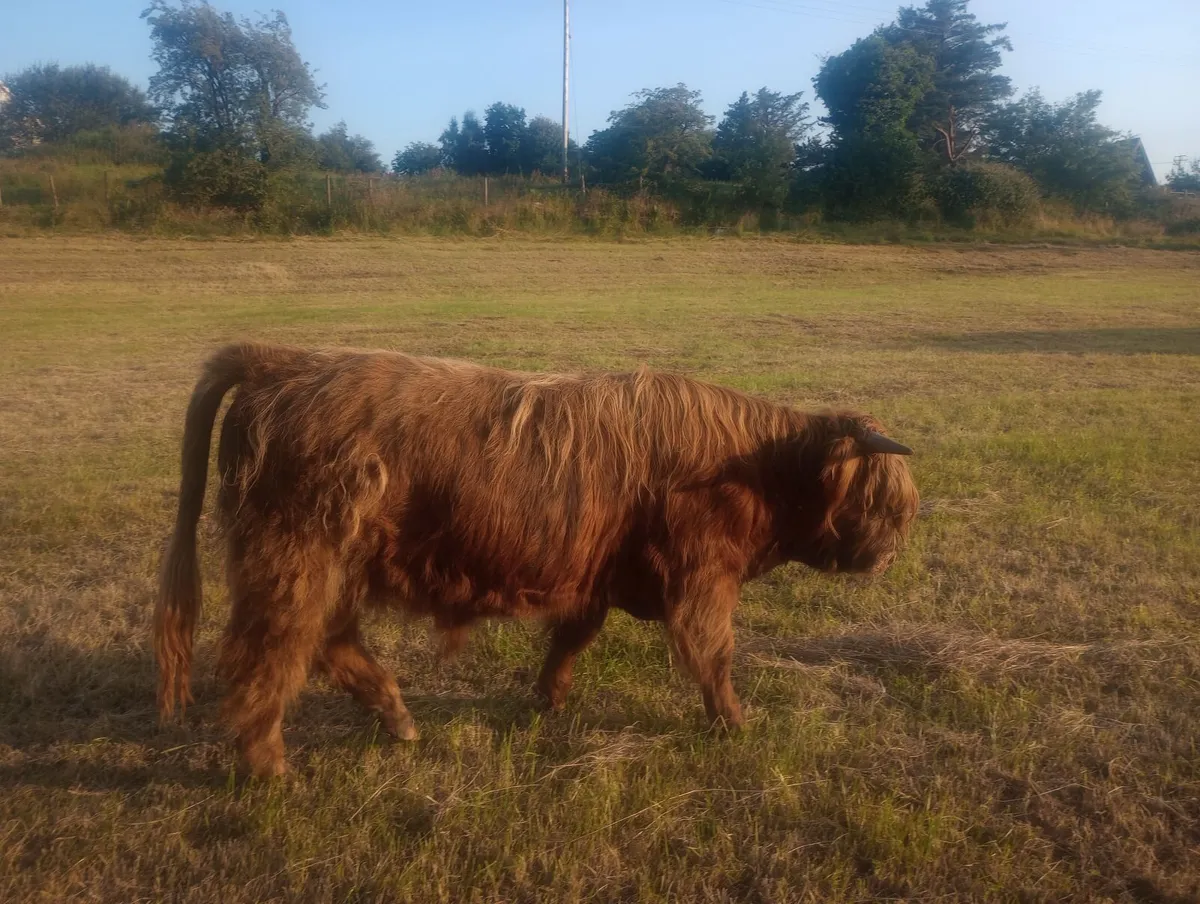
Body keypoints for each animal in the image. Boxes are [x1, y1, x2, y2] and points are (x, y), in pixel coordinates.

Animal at [154, 343, 919, 777]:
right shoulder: (703, 575)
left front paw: (548, 698)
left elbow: (573, 635)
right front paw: (734, 722)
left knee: (328, 640)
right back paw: (270, 768)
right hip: (296, 555)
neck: (754, 468)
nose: (890, 552)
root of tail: (281, 362)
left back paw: (398, 720)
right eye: (886, 499)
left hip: (336, 562)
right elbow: (712, 653)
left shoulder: (598, 574)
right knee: (271, 655)